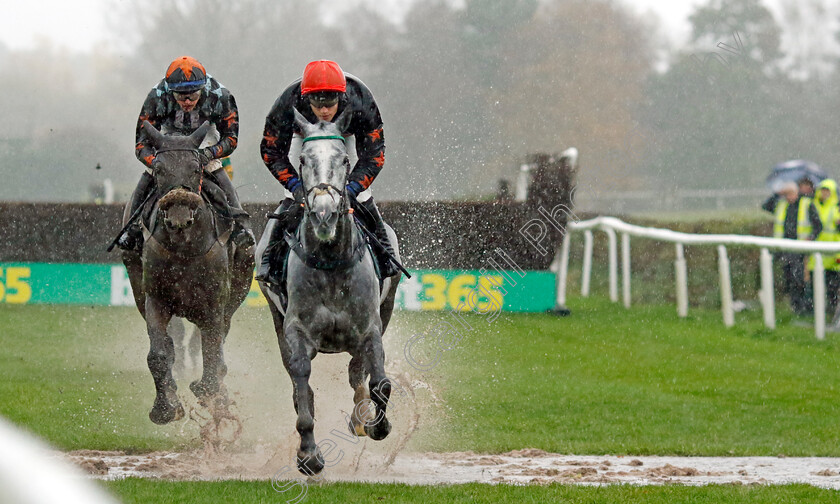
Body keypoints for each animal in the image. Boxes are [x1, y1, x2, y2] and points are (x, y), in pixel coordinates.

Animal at [120, 122, 253, 426]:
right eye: (158, 169)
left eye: (195, 168)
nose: (179, 216)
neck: (184, 246)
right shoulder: (156, 299)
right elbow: (158, 353)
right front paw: (165, 407)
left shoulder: (214, 304)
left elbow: (213, 356)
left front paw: (212, 395)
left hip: (236, 292)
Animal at [256, 108, 400, 474]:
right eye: (303, 159)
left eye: (345, 159)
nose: (324, 214)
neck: (332, 262)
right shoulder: (295, 331)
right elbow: (302, 386)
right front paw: (308, 455)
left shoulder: (370, 327)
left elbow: (380, 381)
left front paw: (378, 425)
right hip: (276, 319)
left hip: (386, 308)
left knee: (357, 372)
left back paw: (361, 419)